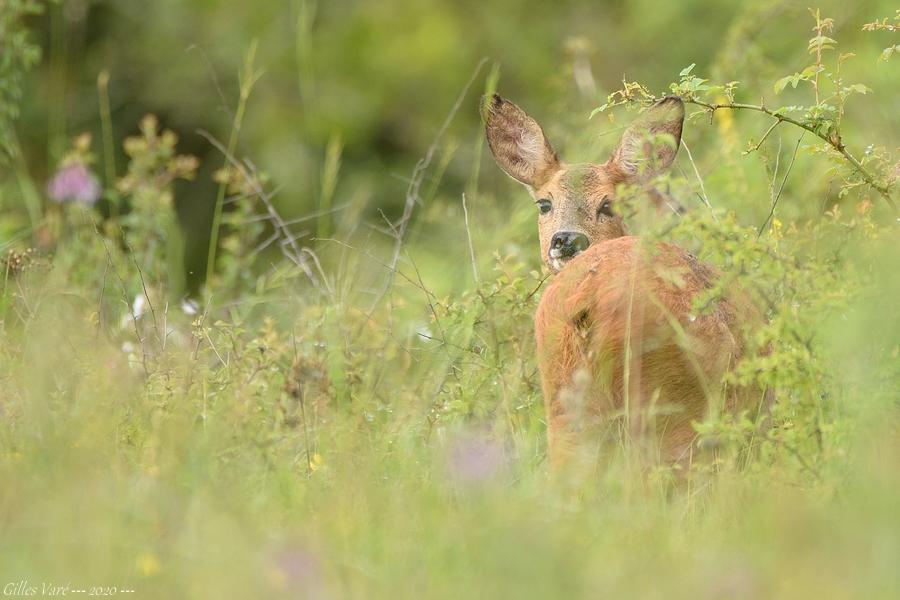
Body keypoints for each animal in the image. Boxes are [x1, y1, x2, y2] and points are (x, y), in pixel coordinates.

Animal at [486, 95, 768, 468]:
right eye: (544, 203)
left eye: (608, 204)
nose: (567, 239)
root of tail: (587, 296)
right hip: (666, 403)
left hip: (565, 397)